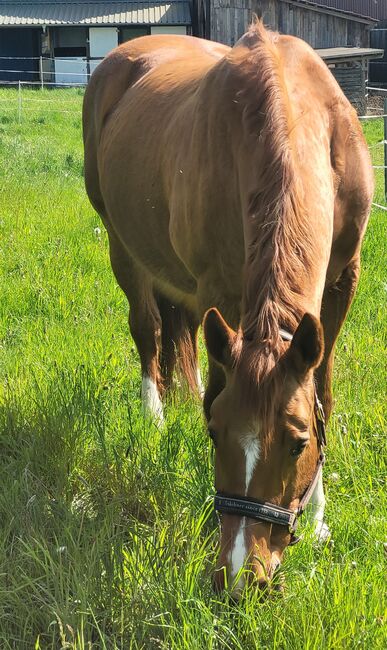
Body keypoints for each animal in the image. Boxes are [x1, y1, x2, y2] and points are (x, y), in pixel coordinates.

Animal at [83, 22, 374, 596]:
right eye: (214, 434)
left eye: (297, 443)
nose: (241, 578)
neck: (299, 114)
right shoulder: (221, 288)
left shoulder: (342, 282)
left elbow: (323, 392)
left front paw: (319, 520)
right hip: (122, 244)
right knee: (149, 329)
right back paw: (155, 414)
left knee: (183, 334)